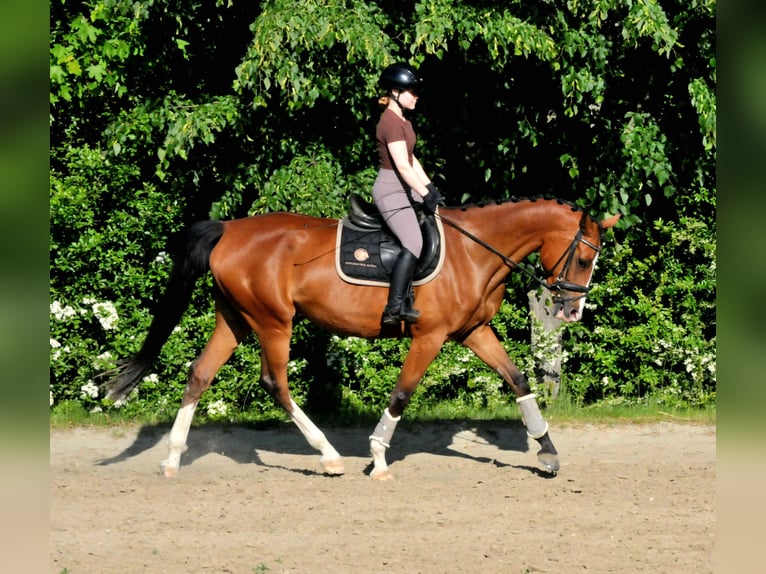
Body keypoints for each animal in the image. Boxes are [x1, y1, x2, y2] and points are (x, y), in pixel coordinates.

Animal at [101, 196, 619, 480]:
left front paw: (547, 452)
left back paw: (173, 458)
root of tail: (229, 228)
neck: (474, 251)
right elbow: (404, 393)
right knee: (275, 383)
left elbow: (516, 379)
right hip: (273, 320)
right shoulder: (430, 336)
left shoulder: (473, 331)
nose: (572, 311)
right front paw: (378, 456)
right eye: (582, 259)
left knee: (200, 374)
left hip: (235, 317)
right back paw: (329, 456)